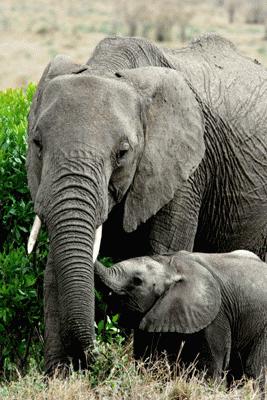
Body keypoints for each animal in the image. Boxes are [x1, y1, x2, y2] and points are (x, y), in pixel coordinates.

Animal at [26, 33, 267, 372]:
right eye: (37, 143)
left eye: (122, 153)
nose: (95, 357)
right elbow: (55, 266)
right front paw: (60, 375)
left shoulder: (186, 171)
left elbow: (162, 250)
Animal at [95, 250, 266, 390]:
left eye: (137, 281)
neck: (169, 265)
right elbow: (146, 356)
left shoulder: (216, 315)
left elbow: (212, 366)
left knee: (254, 369)